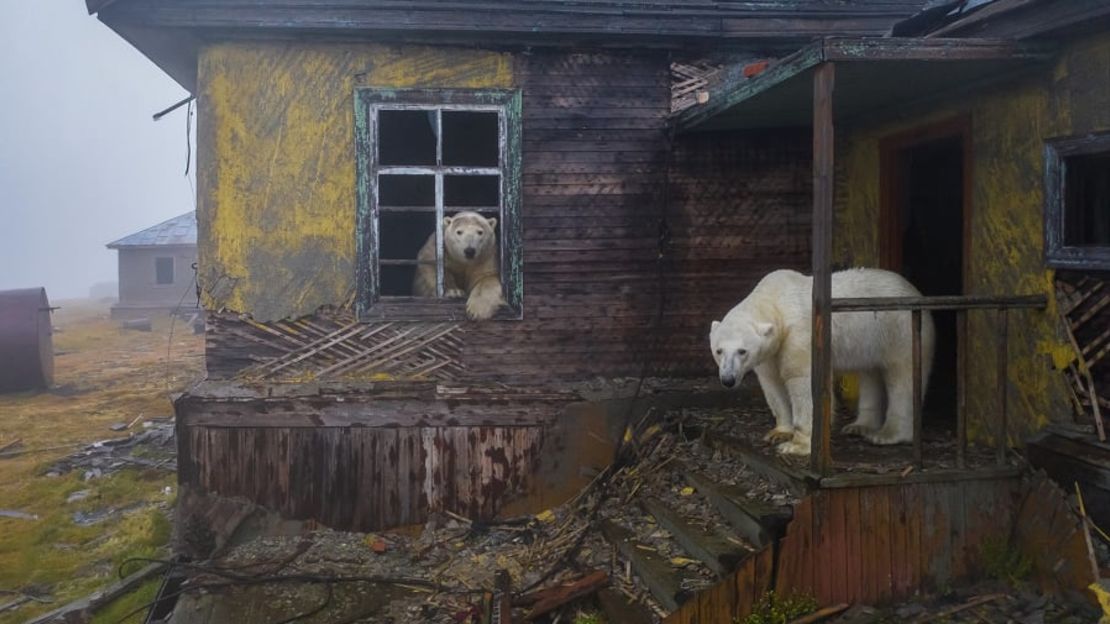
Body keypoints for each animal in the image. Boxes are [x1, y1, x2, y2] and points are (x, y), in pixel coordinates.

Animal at [705, 266, 932, 450]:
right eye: (719, 351)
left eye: (742, 351)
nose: (728, 379)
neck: (776, 300)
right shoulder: (770, 351)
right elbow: (772, 383)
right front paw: (779, 432)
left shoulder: (800, 334)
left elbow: (803, 381)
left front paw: (797, 445)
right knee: (871, 373)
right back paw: (859, 426)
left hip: (899, 329)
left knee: (902, 377)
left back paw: (888, 435)